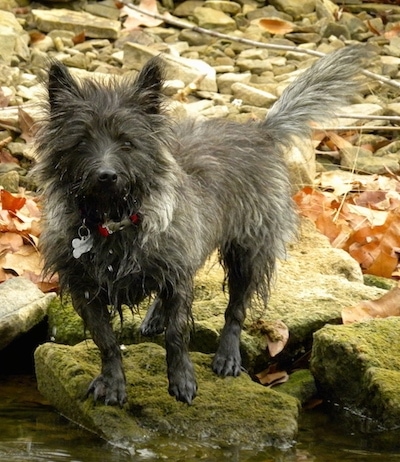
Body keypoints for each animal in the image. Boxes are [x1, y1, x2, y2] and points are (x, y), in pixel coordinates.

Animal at [34, 44, 368, 404]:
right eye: (81, 141)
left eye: (127, 142)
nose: (106, 175)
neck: (113, 221)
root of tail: (260, 131)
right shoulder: (85, 288)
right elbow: (106, 340)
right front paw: (113, 381)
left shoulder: (178, 277)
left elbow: (178, 333)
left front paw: (182, 378)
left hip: (247, 253)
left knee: (236, 309)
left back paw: (227, 356)